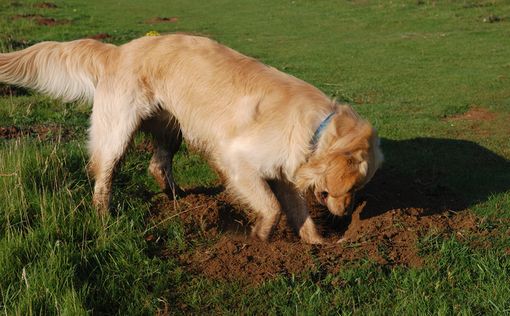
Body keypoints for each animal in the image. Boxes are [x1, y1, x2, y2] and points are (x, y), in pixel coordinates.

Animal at [0, 34, 382, 242]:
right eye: (351, 187)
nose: (347, 216)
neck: (317, 128)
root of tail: (119, 51)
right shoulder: (237, 161)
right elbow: (272, 207)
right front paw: (260, 237)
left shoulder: (286, 174)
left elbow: (298, 211)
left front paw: (317, 245)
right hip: (118, 131)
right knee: (103, 176)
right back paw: (104, 216)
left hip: (172, 129)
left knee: (157, 166)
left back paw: (178, 201)